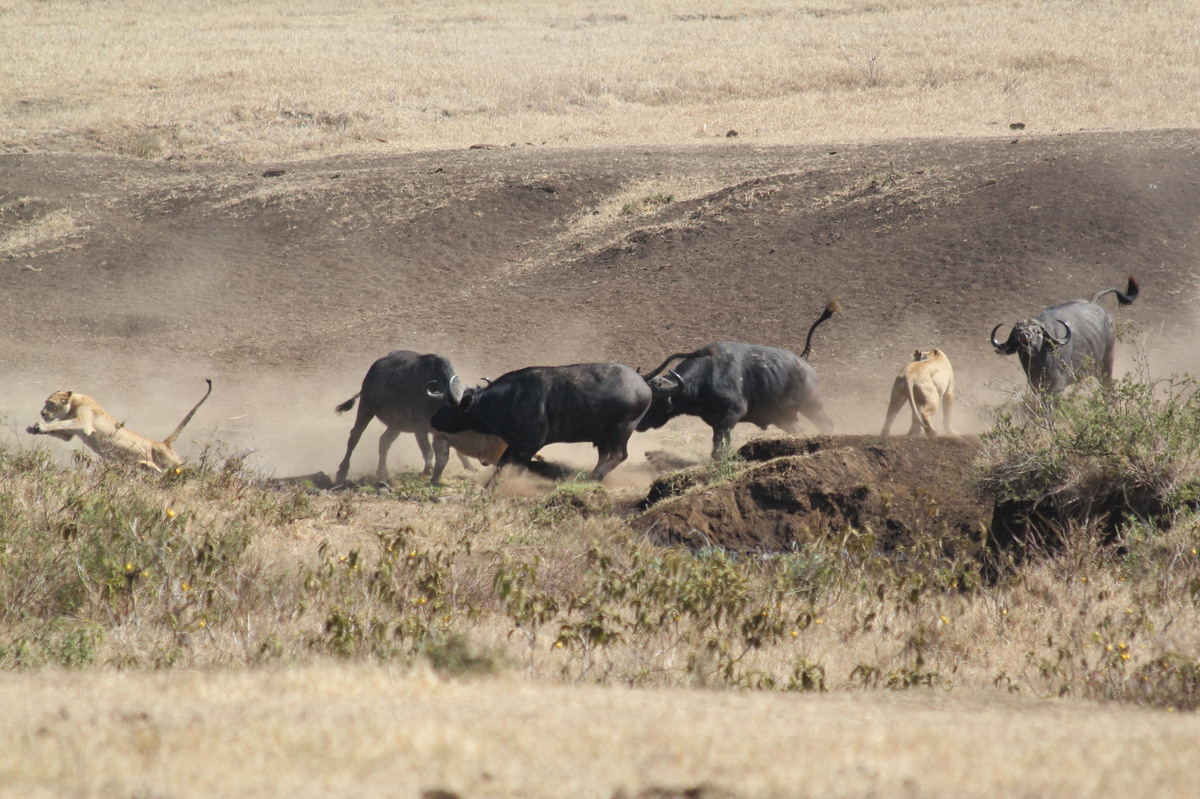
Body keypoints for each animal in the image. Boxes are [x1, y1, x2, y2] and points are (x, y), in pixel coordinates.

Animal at [333, 350, 501, 484]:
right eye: (463, 409)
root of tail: (373, 371)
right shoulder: (419, 428)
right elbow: (427, 450)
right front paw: (428, 470)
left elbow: (458, 452)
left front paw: (470, 468)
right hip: (366, 408)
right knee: (354, 437)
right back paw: (341, 472)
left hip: (396, 425)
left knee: (384, 442)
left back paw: (383, 473)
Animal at [633, 297, 840, 458]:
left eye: (653, 402)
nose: (638, 423)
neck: (707, 377)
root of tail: (803, 360)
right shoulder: (716, 422)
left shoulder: (731, 415)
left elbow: (719, 446)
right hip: (783, 417)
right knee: (799, 430)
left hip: (812, 406)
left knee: (827, 424)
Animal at [993, 275, 1142, 393]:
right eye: (1017, 331)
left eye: (1037, 331)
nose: (1024, 335)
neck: (1039, 361)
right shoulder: (1036, 387)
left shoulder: (1057, 385)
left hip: (1107, 361)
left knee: (1107, 388)